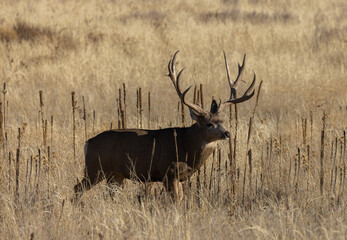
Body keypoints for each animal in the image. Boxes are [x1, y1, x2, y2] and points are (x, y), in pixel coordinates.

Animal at [73, 50, 256, 201]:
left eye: (222, 121)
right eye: (209, 124)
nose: (226, 133)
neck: (187, 145)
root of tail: (87, 143)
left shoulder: (180, 177)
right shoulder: (169, 172)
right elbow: (175, 201)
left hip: (115, 175)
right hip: (95, 168)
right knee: (77, 188)